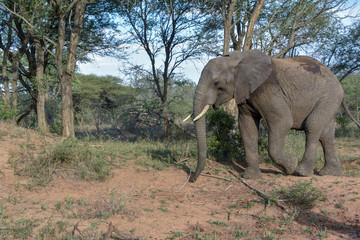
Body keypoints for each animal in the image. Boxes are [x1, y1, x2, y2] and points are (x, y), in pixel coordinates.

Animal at [186, 50, 360, 182]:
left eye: (216, 83)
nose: (192, 178)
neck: (237, 59)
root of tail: (337, 81)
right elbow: (247, 127)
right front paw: (250, 177)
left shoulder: (267, 90)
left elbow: (283, 122)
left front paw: (290, 167)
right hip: (330, 99)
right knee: (326, 133)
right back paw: (330, 173)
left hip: (329, 96)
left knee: (312, 125)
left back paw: (302, 172)